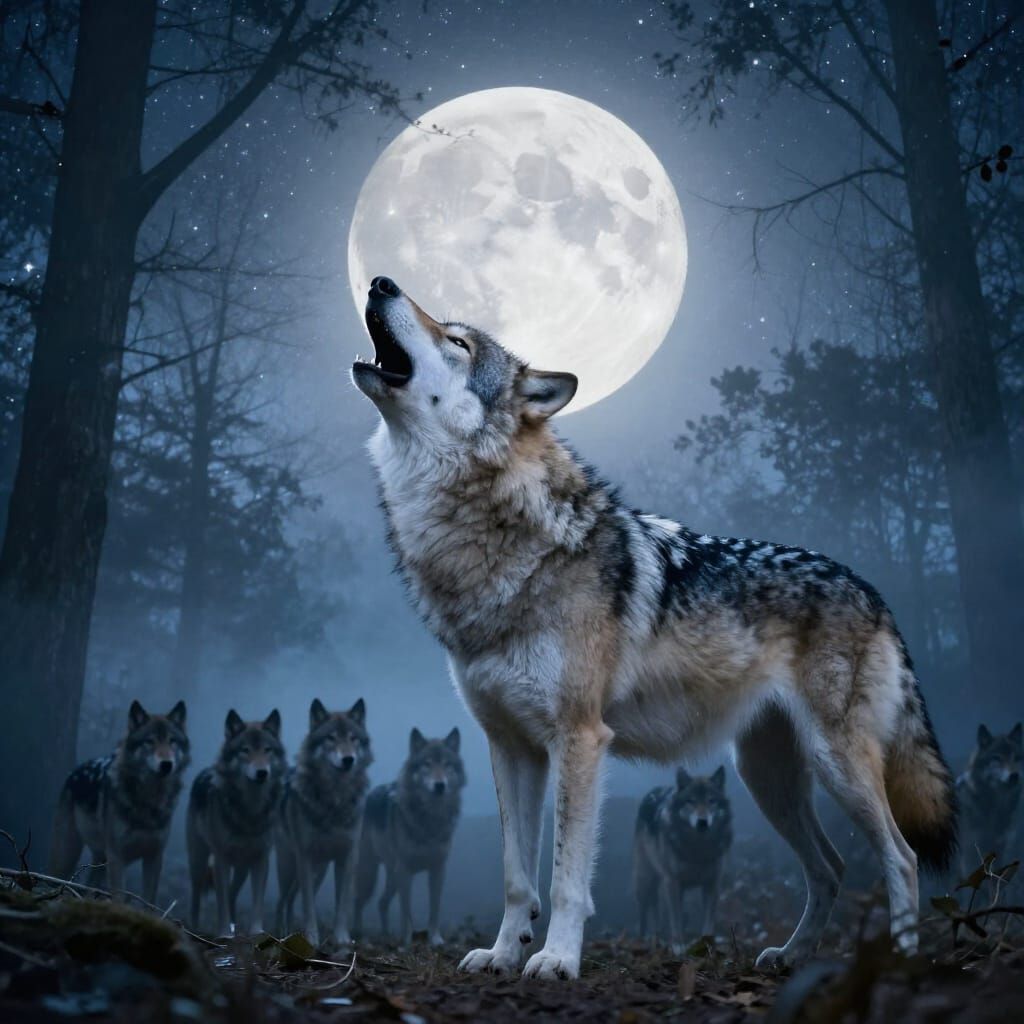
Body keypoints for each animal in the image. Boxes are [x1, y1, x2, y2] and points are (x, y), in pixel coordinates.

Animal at [50, 700, 190, 904]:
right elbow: (119, 896)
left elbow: (149, 902)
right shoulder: (117, 856)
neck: (148, 802)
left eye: (172, 741)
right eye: (150, 741)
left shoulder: (154, 856)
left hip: (100, 860)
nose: (166, 764)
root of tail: (74, 771)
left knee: (89, 887)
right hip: (68, 853)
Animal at [187, 709, 285, 935]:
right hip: (199, 860)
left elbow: (257, 903)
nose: (262, 773)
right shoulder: (221, 858)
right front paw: (224, 933)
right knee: (197, 895)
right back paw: (196, 927)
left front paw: (256, 932)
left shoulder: (261, 858)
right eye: (245, 750)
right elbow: (221, 901)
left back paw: (234, 925)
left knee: (232, 893)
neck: (250, 810)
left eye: (267, 750)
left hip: (242, 868)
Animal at [276, 698, 371, 946]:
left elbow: (342, 905)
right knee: (284, 900)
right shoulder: (305, 856)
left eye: (353, 738)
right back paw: (281, 931)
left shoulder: (347, 856)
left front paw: (342, 939)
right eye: (331, 738)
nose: (348, 759)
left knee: (292, 899)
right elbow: (308, 906)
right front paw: (311, 938)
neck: (335, 800)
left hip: (318, 871)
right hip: (289, 866)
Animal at [355, 727, 466, 945]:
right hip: (371, 871)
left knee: (381, 902)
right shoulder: (405, 871)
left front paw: (435, 939)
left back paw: (386, 934)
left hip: (392, 876)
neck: (430, 820)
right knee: (358, 902)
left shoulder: (438, 870)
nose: (440, 785)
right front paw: (407, 942)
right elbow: (406, 913)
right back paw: (358, 934)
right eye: (427, 764)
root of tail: (373, 792)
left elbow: (434, 909)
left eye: (447, 764)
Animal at [634, 766, 732, 950]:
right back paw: (643, 940)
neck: (698, 849)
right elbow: (676, 919)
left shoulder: (712, 883)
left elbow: (708, 922)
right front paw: (678, 947)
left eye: (711, 801)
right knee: (644, 912)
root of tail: (653, 791)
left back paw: (657, 938)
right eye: (691, 801)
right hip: (645, 880)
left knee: (655, 909)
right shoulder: (673, 882)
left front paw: (707, 945)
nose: (702, 822)